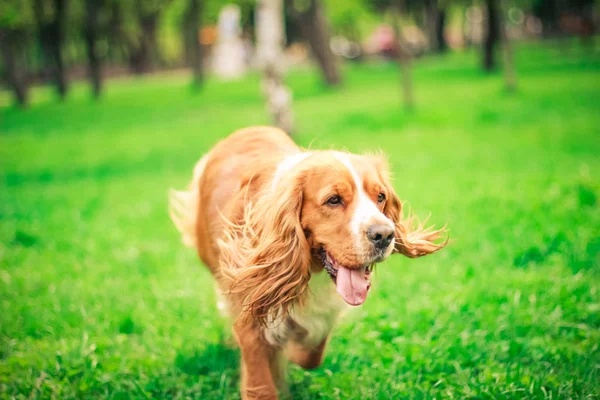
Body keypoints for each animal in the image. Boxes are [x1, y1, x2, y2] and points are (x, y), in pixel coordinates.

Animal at [169, 126, 446, 398]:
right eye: (333, 199)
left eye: (380, 196)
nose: (385, 235)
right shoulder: (250, 318)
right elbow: (261, 384)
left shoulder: (324, 314)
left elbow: (311, 353)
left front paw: (290, 354)